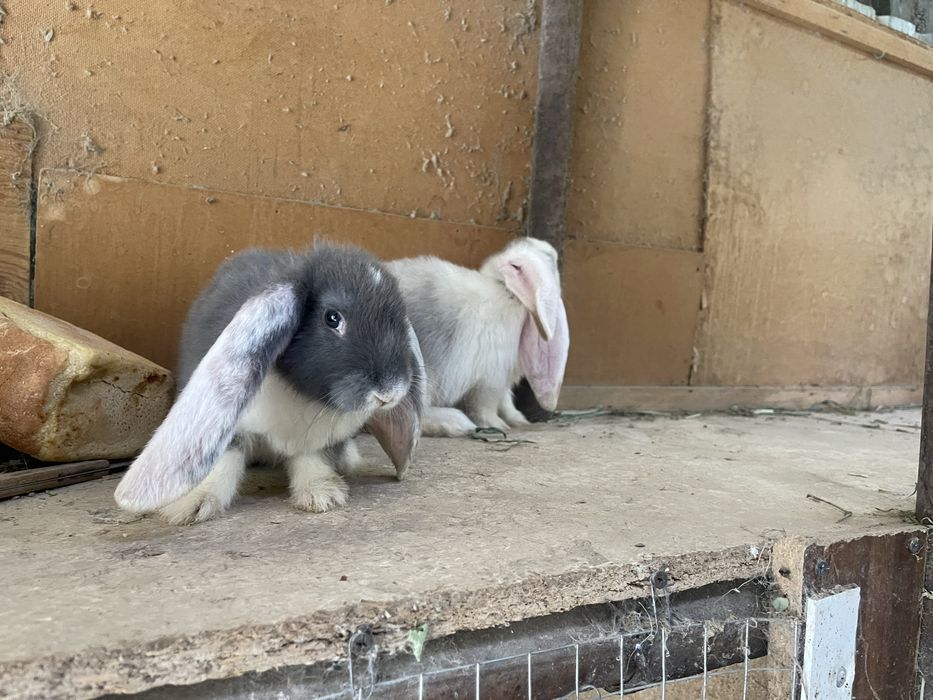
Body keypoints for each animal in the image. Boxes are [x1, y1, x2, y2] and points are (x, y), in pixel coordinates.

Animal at [113, 244, 426, 524]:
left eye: (400, 321)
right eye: (332, 318)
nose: (389, 393)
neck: (299, 394)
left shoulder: (317, 440)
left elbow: (313, 459)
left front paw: (322, 495)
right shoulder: (232, 428)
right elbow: (220, 464)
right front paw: (190, 506)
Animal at [383, 236, 569, 437]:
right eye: (551, 258)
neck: (507, 293)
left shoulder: (502, 381)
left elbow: (506, 402)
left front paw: (518, 420)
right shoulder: (490, 379)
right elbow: (485, 406)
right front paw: (497, 425)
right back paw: (456, 423)